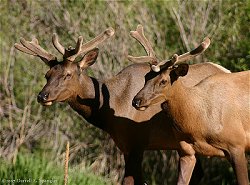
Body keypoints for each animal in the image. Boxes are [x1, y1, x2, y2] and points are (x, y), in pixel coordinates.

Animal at [14, 24, 230, 185]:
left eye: (67, 75)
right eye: (47, 74)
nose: (42, 96)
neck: (111, 109)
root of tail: (226, 70)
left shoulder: (137, 143)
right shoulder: (127, 146)